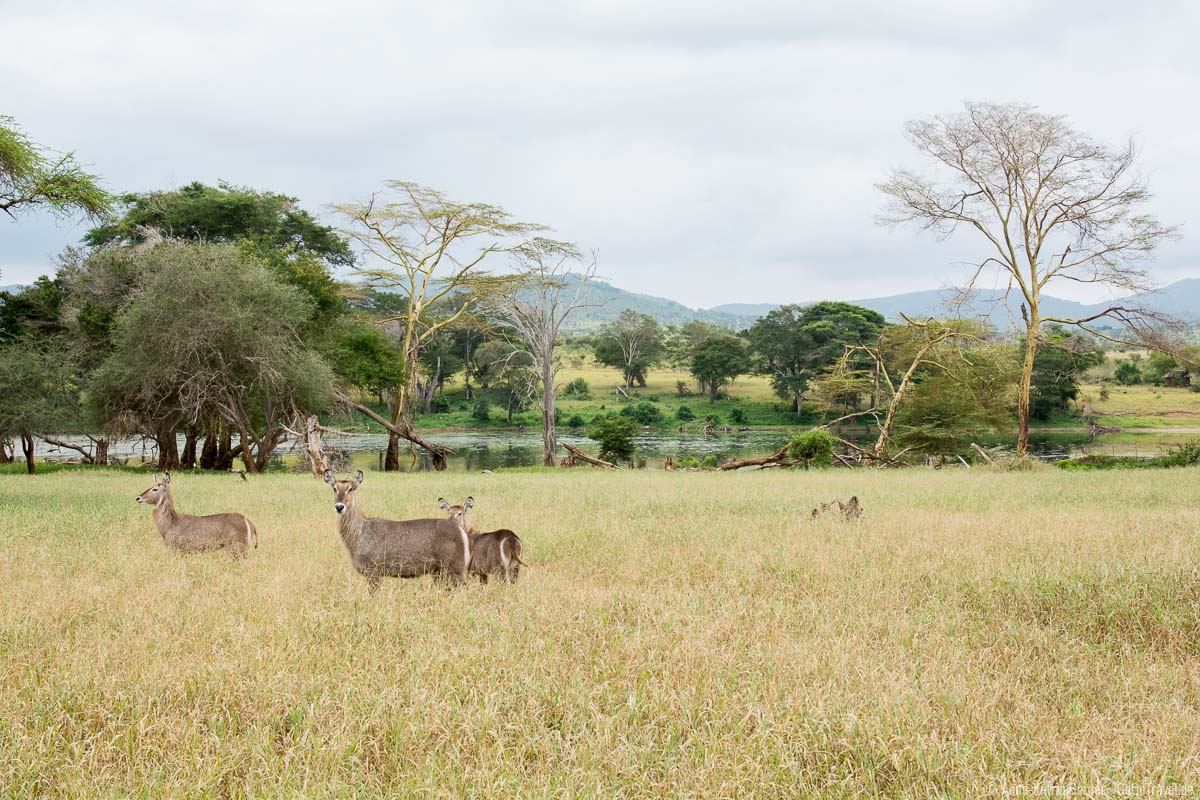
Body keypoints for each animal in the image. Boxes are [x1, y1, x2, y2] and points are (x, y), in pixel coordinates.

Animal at [326, 472, 470, 592]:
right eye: (334, 488)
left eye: (350, 488)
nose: (339, 506)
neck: (357, 538)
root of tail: (461, 531)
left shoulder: (373, 570)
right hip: (438, 571)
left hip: (455, 567)